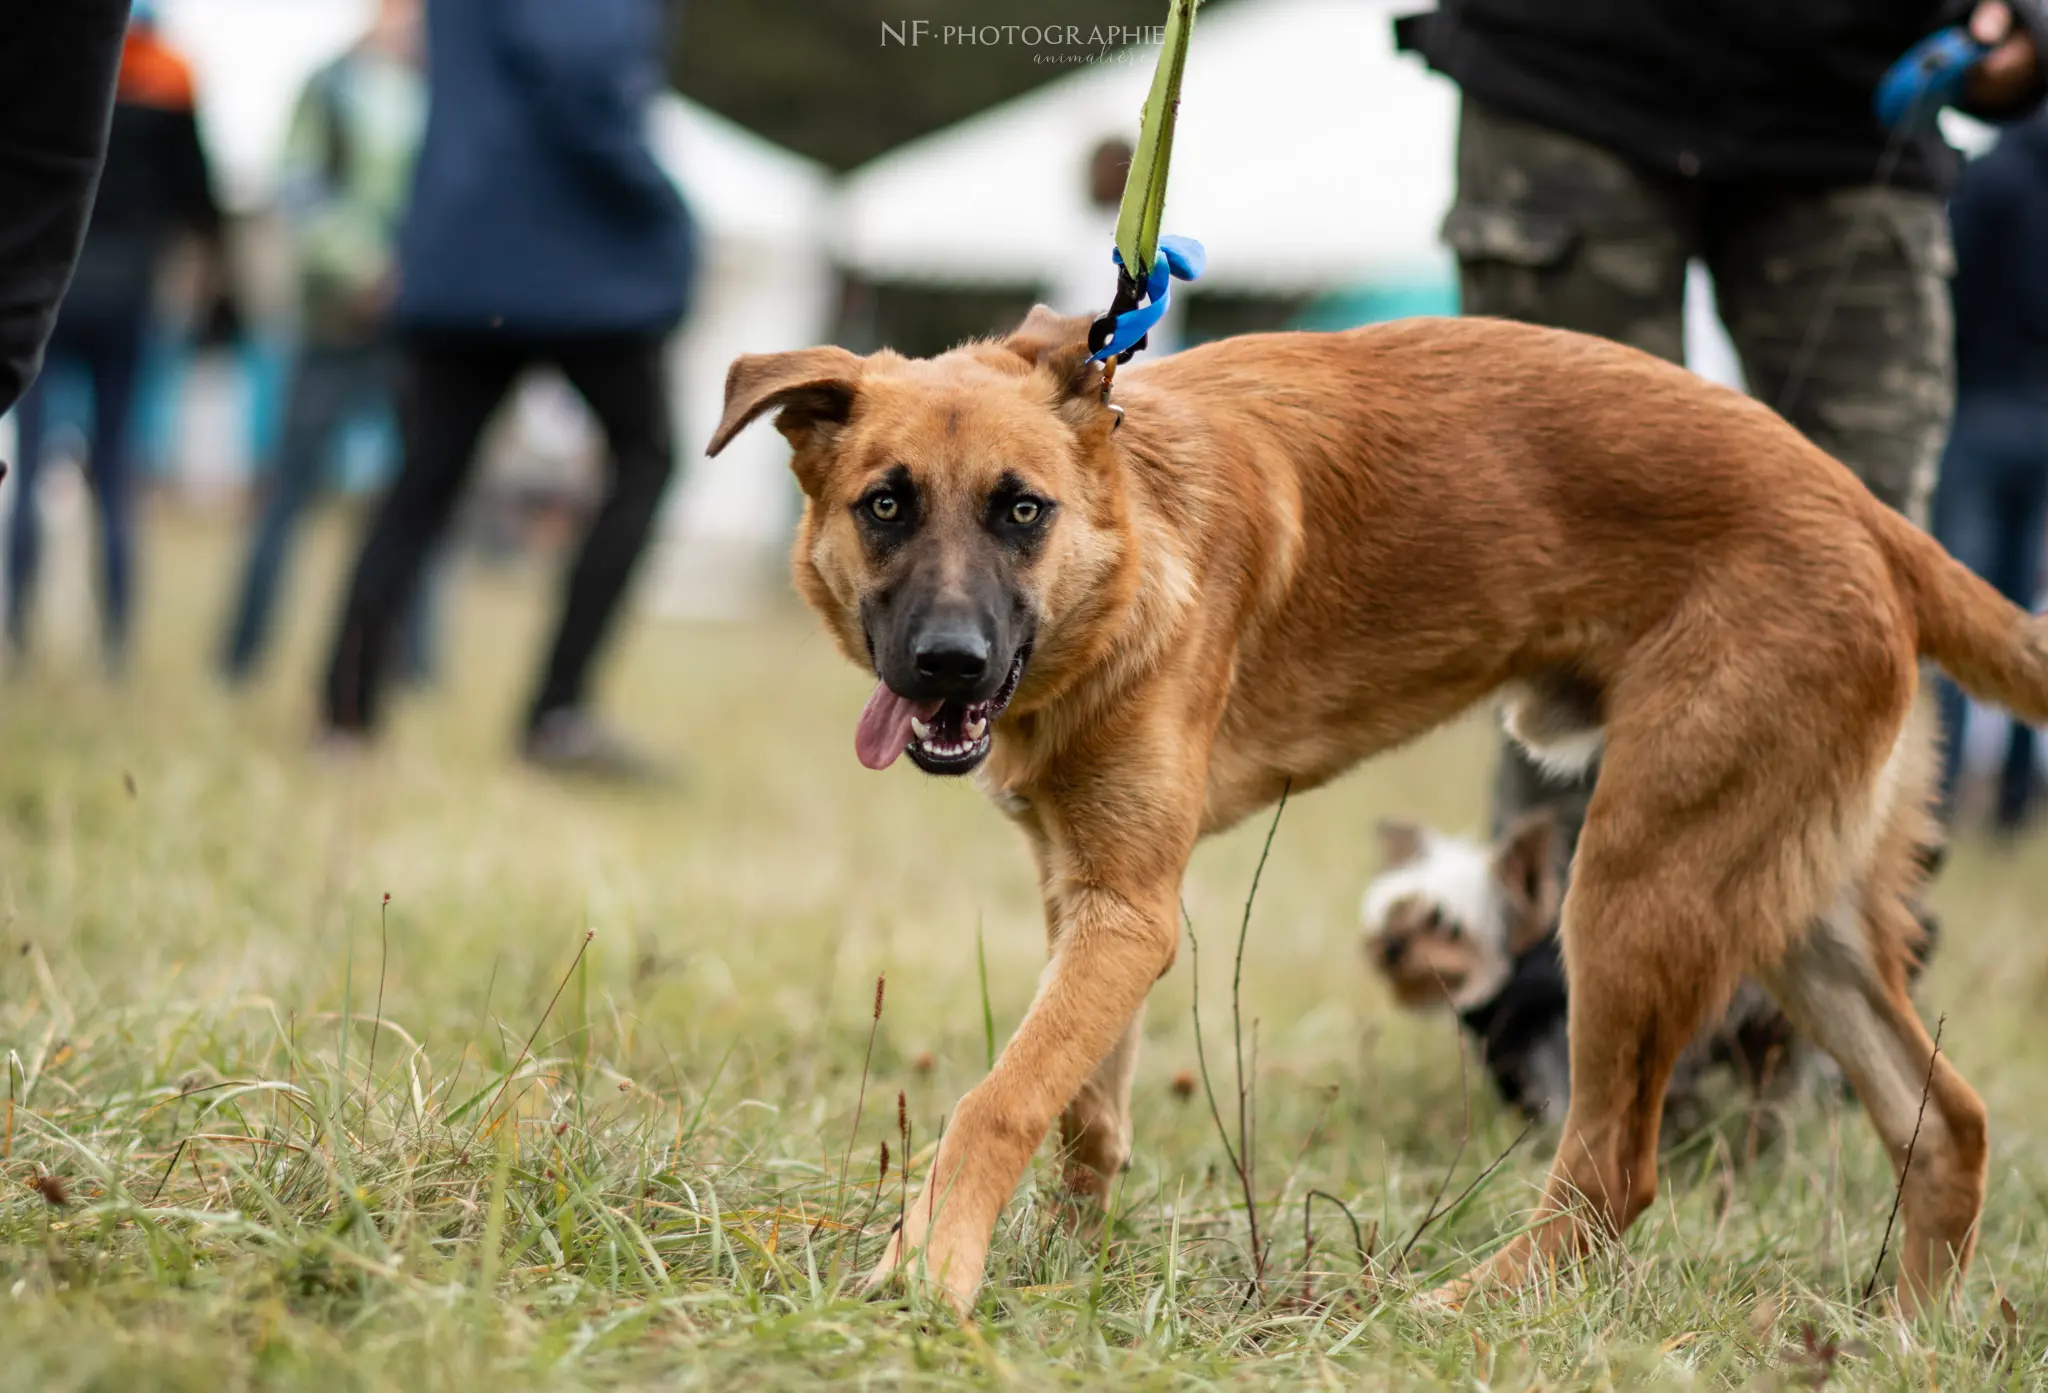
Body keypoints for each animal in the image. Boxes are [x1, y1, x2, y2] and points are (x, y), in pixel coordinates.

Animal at [708, 313, 2031, 1319]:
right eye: (885, 506)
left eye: (1018, 510)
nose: (948, 666)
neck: (1133, 538)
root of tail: (1871, 516)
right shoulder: (1090, 895)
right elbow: (1083, 1107)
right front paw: (1064, 1267)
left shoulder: (1129, 915)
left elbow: (997, 1098)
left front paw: (929, 1270)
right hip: (1785, 899)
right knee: (1946, 1125)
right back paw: (1903, 1334)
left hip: (1630, 889)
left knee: (1613, 1169)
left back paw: (1459, 1307)